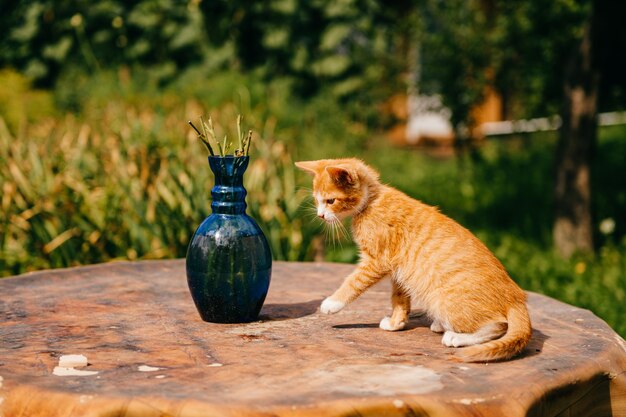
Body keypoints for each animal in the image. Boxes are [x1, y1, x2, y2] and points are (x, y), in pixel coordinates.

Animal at [294, 158, 528, 360]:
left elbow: (353, 282)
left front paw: (332, 302)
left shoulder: (376, 262)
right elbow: (399, 298)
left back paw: (456, 337)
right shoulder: (399, 268)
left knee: (499, 324)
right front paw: (396, 323)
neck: (372, 201)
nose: (320, 215)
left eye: (330, 201)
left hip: (444, 298)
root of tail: (516, 297)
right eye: (316, 201)